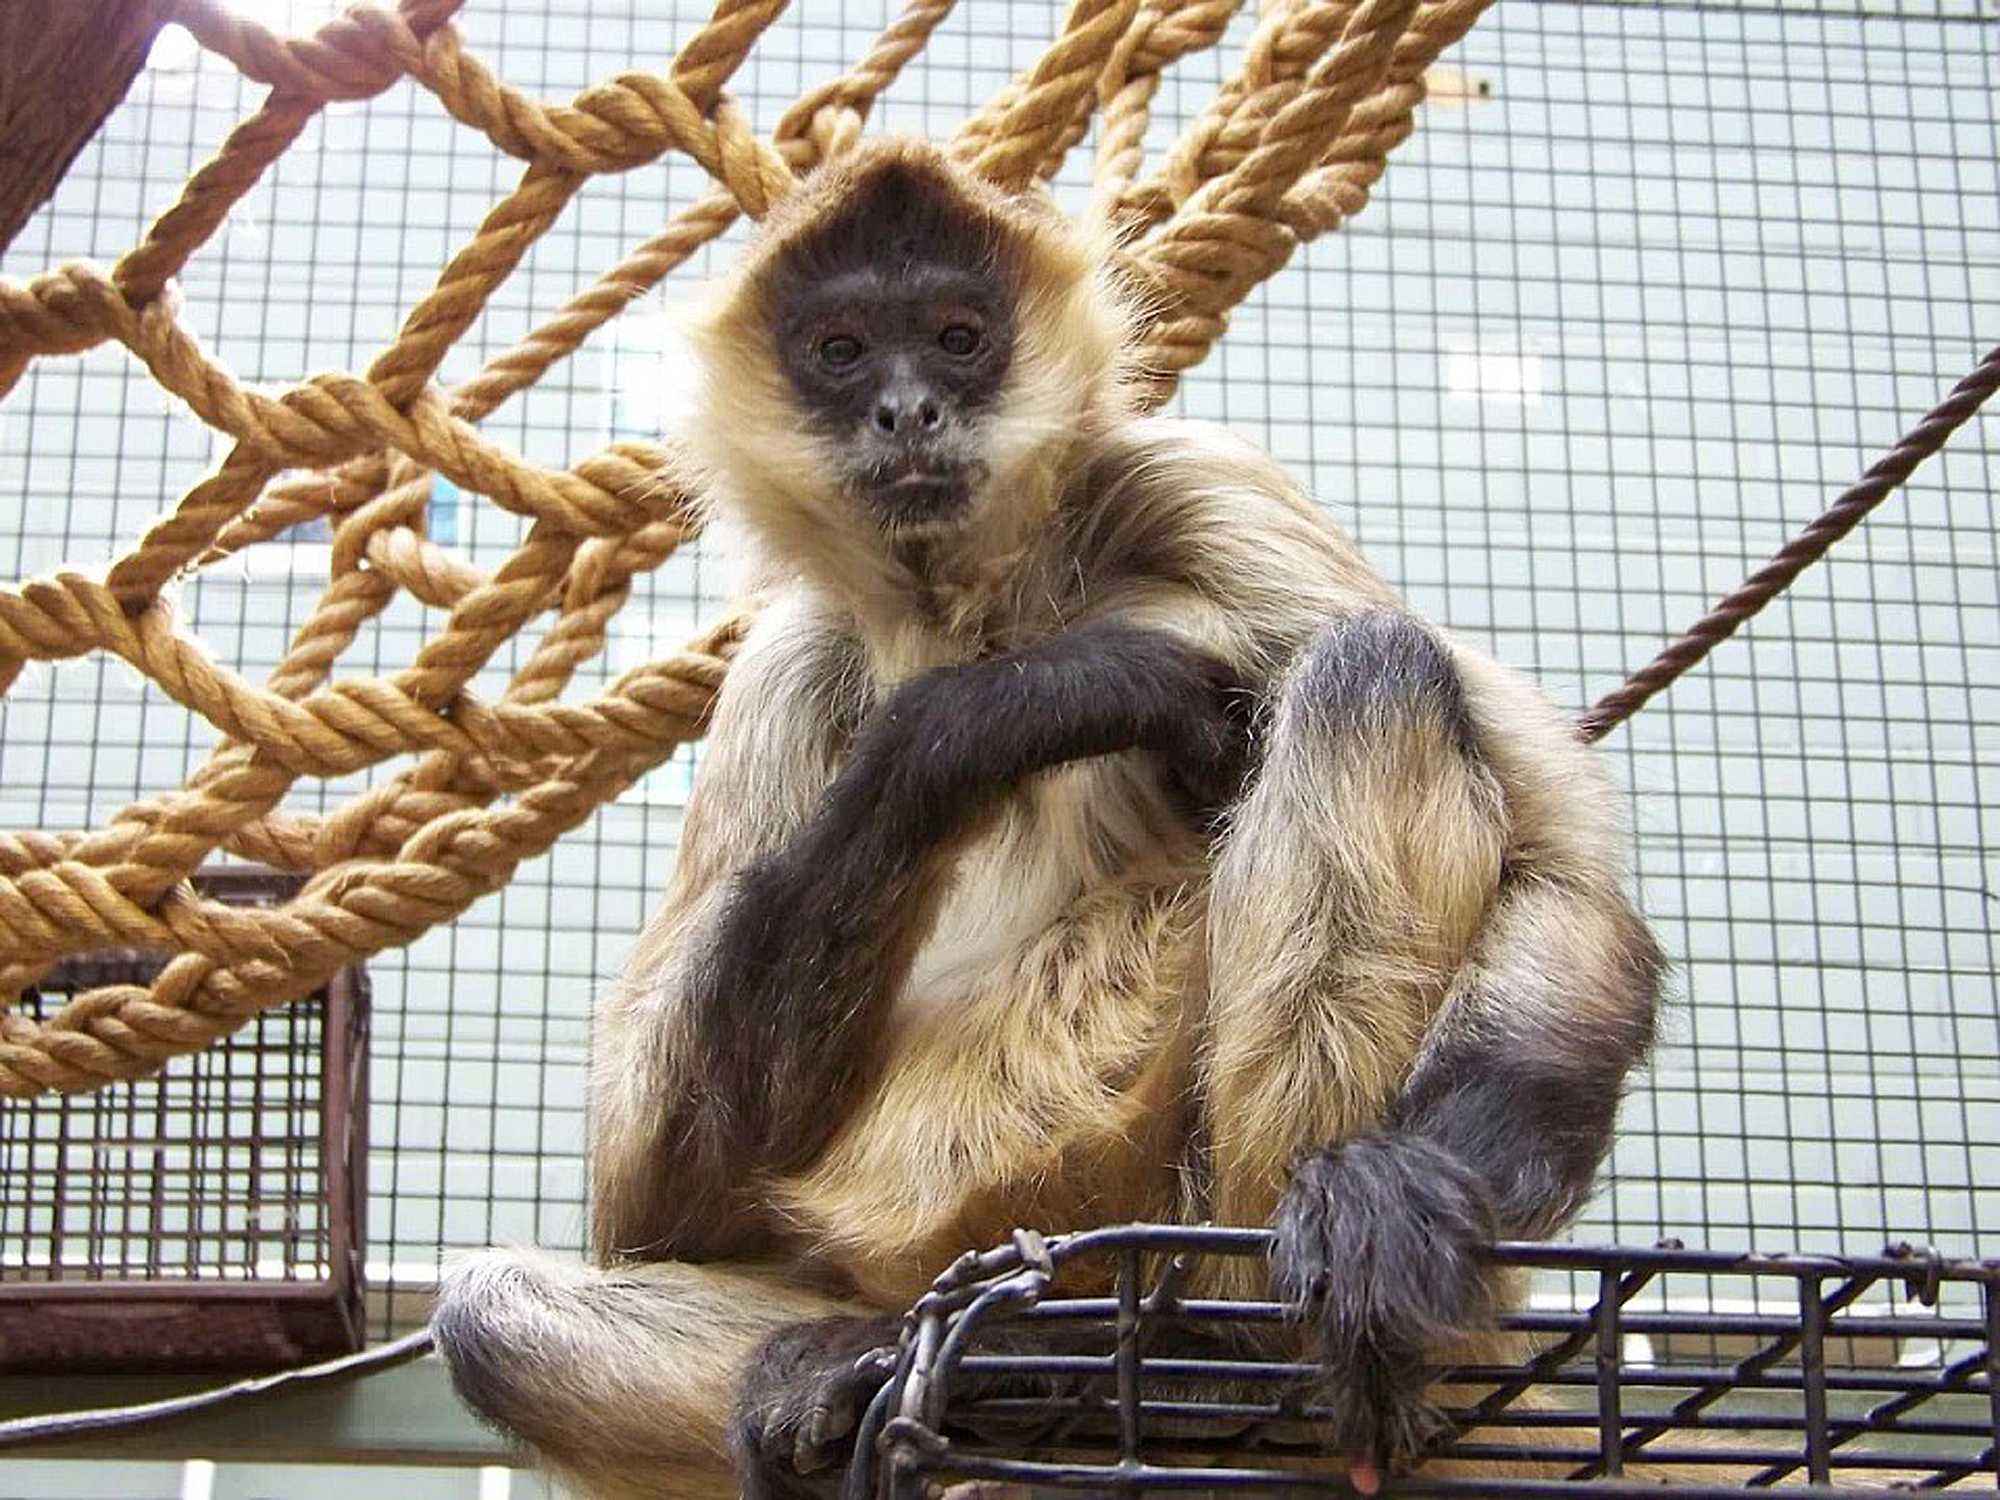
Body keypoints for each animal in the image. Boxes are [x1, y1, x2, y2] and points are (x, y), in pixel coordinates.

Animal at [429, 137, 1666, 1500]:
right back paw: (891, 1372)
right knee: (491, 1318)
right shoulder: (792, 652)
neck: (982, 605)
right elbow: (651, 1201)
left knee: (1371, 669)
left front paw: (1406, 1189)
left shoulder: (1198, 479)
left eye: (958, 336)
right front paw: (1027, 702)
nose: (908, 409)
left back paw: (1229, 1364)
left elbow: (1564, 873)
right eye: (842, 349)